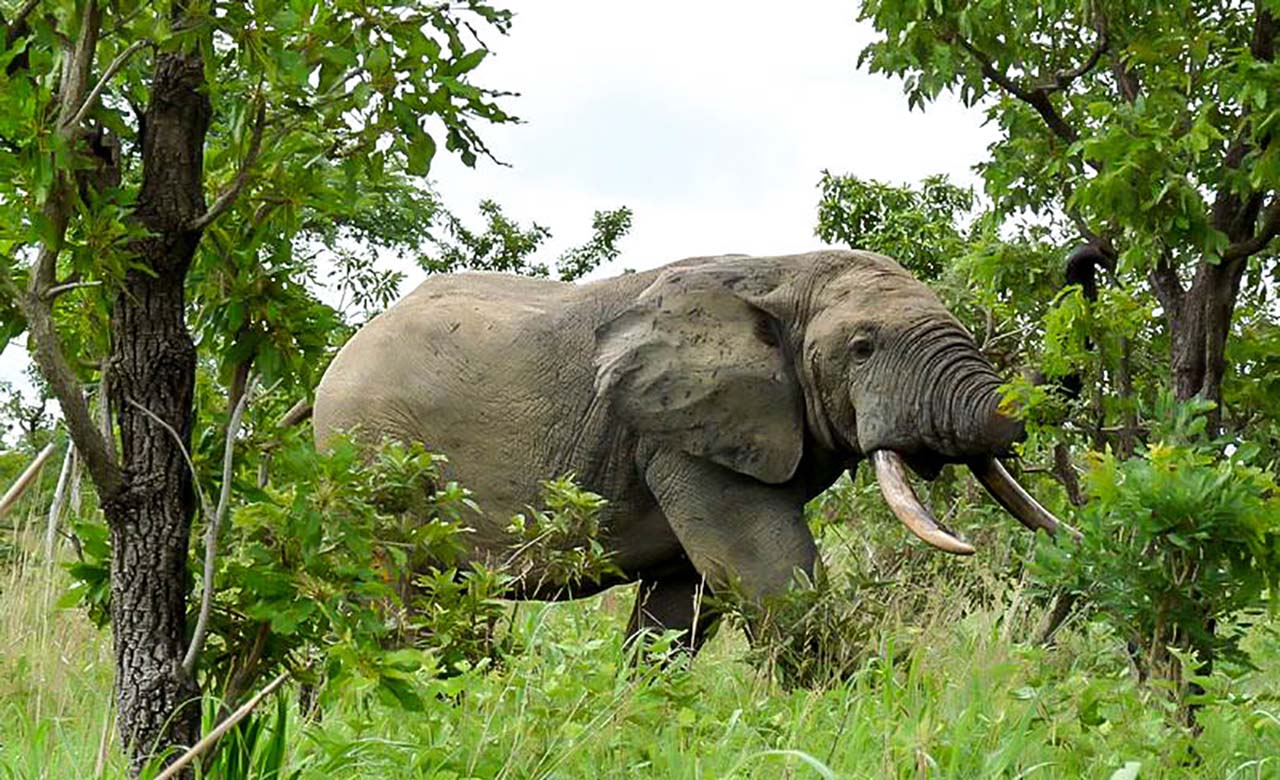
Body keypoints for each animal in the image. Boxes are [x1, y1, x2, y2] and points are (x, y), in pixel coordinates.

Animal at [314, 249, 1064, 650]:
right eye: (862, 348)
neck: (778, 270)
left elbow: (682, 606)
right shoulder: (675, 432)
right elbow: (768, 575)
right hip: (371, 450)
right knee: (401, 597)